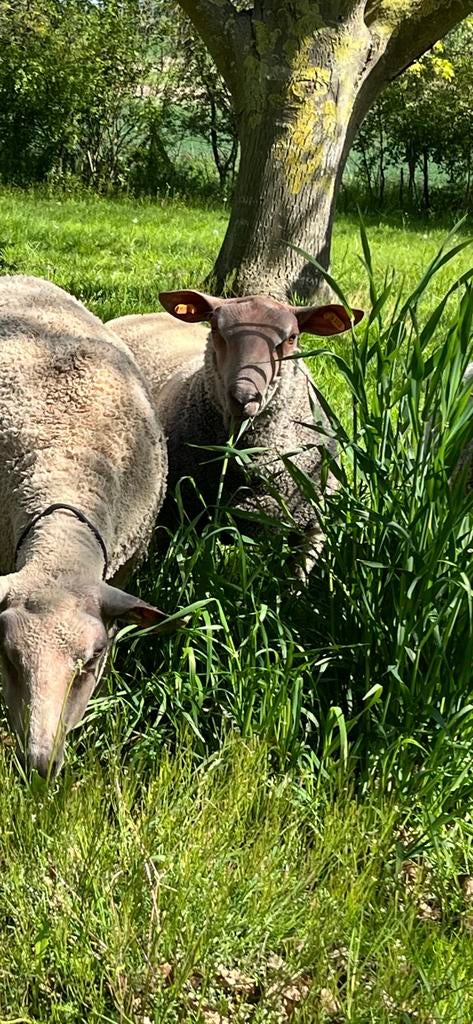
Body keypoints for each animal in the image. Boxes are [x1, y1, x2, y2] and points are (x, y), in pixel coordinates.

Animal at [107, 290, 363, 563]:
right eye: (215, 328)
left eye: (292, 337)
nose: (244, 397)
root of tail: (142, 314)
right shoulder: (173, 515)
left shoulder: (314, 524)